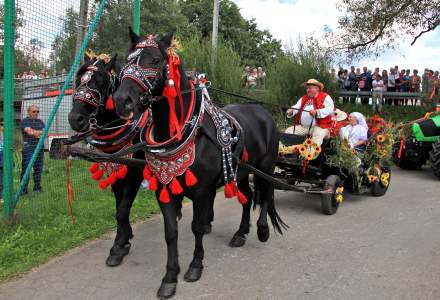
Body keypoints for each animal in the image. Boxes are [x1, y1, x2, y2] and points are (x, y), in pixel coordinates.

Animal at [111, 29, 288, 298]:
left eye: (155, 60)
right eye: (127, 60)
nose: (123, 100)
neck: (187, 132)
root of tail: (263, 111)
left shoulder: (203, 191)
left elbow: (196, 227)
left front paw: (195, 266)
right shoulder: (165, 190)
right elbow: (171, 233)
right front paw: (170, 277)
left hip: (264, 167)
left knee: (265, 194)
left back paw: (262, 230)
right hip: (239, 172)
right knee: (247, 198)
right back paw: (240, 233)